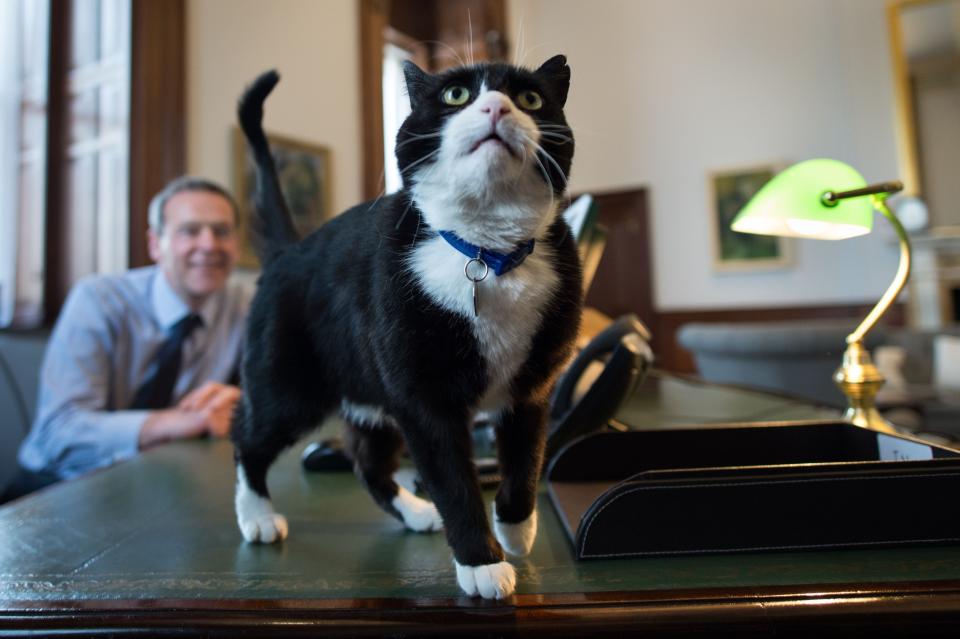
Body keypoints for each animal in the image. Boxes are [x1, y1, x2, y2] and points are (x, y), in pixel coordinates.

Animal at [233, 56, 580, 600]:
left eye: (530, 99)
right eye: (457, 94)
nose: (496, 106)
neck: (486, 254)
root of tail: (290, 249)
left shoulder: (533, 386)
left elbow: (528, 458)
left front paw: (516, 527)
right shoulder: (423, 400)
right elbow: (453, 479)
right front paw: (482, 561)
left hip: (370, 395)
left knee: (369, 463)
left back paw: (416, 511)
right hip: (287, 384)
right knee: (248, 437)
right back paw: (258, 515)